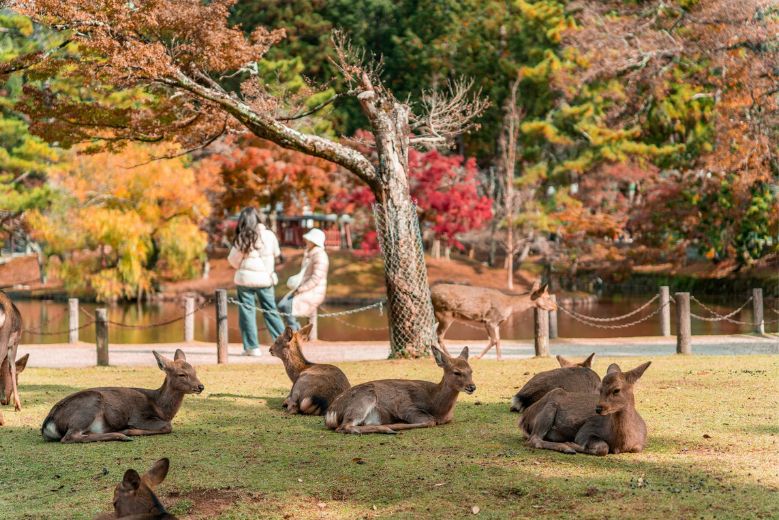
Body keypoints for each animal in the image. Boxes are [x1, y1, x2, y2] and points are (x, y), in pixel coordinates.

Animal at [41, 349, 203, 443]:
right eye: (182, 374)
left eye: (195, 371)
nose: (201, 386)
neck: (161, 408)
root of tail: (48, 423)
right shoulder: (139, 417)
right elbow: (168, 426)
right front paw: (128, 430)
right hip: (89, 404)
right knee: (69, 437)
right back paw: (122, 435)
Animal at [325, 345, 475, 434]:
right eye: (456, 372)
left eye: (471, 371)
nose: (472, 387)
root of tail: (330, 414)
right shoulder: (406, 407)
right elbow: (429, 421)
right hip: (364, 398)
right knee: (344, 426)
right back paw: (388, 428)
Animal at [519, 361, 651, 455]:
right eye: (600, 389)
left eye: (616, 390)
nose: (598, 408)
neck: (621, 443)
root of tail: (523, 419)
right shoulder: (586, 429)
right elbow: (603, 448)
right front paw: (571, 444)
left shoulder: (639, 445)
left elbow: (635, 448)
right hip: (548, 408)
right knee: (533, 439)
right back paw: (566, 448)